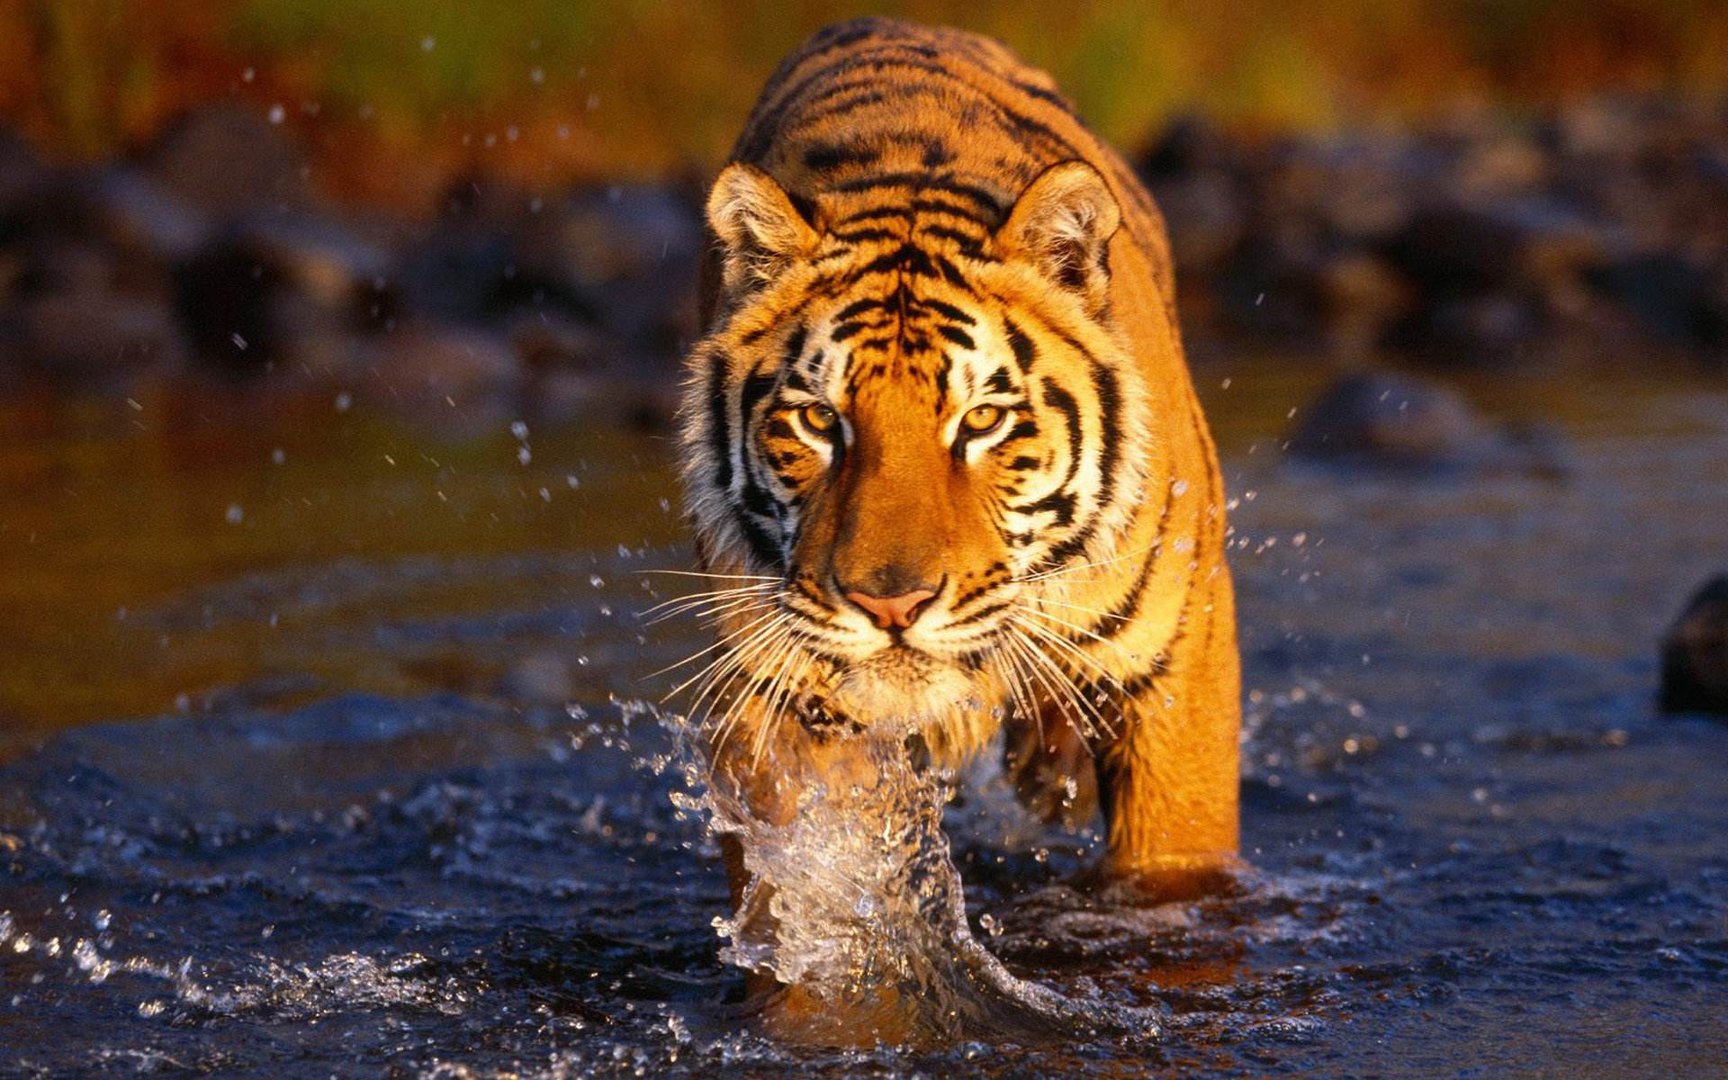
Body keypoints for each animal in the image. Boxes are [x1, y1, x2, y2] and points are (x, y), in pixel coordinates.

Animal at [675, 17, 1241, 917]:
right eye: (819, 420)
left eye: (981, 420)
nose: (890, 606)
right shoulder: (778, 697)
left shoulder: (1178, 668)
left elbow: (1172, 865)